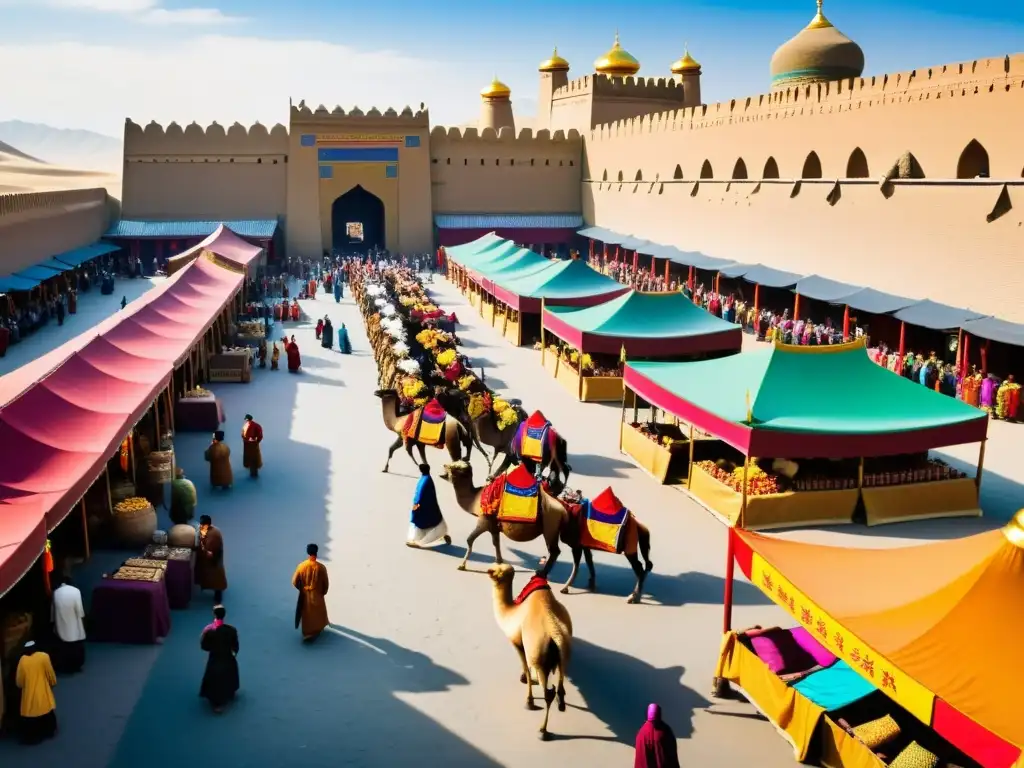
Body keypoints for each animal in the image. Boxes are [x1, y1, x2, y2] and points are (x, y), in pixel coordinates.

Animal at [485, 565, 569, 741]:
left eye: (497, 570)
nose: (488, 570)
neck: (510, 613)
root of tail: (555, 635)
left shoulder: (518, 643)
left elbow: (525, 668)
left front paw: (529, 700)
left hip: (538, 656)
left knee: (548, 693)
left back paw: (543, 731)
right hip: (563, 656)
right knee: (560, 686)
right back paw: (561, 704)